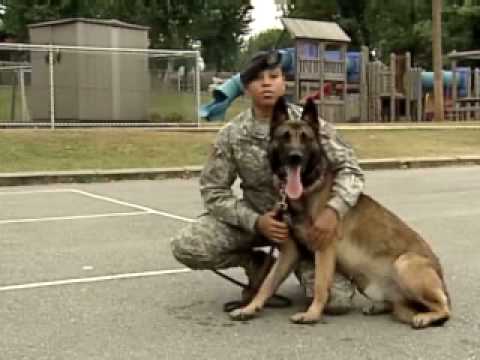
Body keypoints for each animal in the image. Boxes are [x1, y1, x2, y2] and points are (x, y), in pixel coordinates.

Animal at [231, 97, 452, 328]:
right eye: (284, 137)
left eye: (306, 138)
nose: (295, 157)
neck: (308, 189)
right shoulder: (289, 252)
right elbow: (267, 283)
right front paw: (249, 308)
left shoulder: (324, 248)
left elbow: (320, 285)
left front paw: (312, 314)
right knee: (395, 304)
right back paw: (380, 307)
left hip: (405, 263)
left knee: (444, 308)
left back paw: (425, 316)